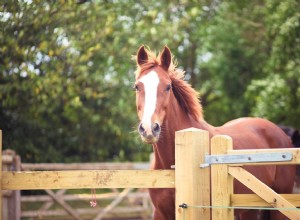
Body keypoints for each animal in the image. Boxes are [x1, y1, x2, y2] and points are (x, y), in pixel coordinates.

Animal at [134, 45, 296, 219]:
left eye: (168, 86)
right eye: (137, 86)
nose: (149, 128)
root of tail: (282, 134)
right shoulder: (160, 213)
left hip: (281, 205)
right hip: (249, 208)